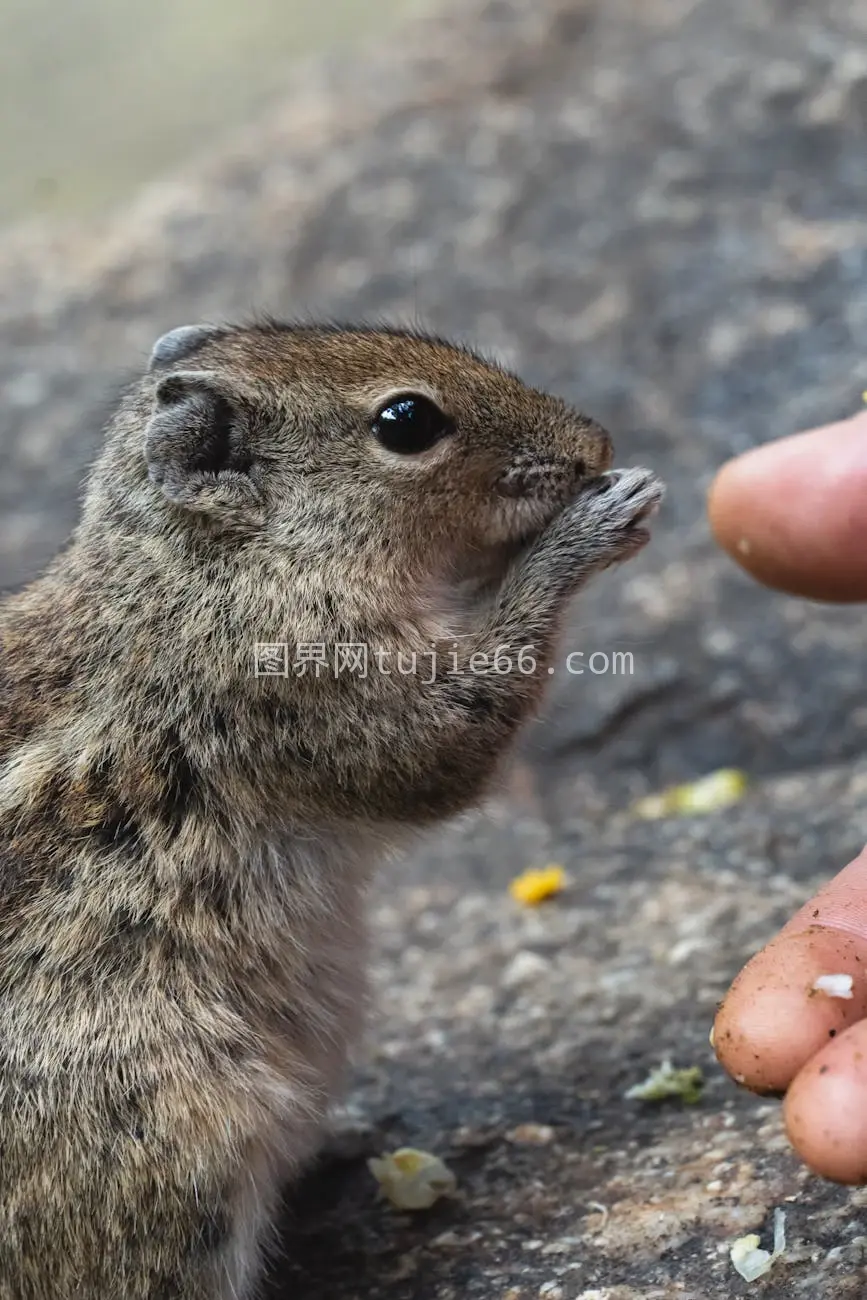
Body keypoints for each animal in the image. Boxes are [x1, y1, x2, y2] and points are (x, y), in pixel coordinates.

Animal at [0, 317, 665, 1300]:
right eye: (406, 421)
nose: (597, 444)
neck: (201, 566)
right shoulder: (336, 694)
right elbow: (457, 730)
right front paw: (590, 529)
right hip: (176, 1137)